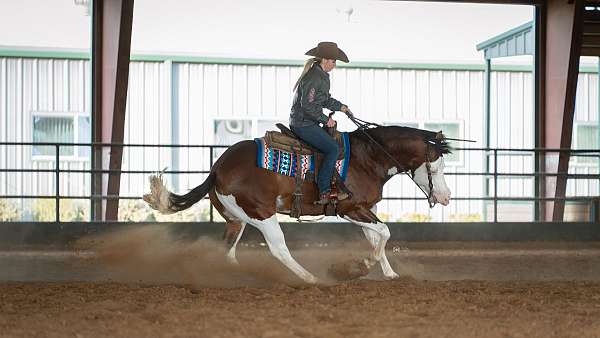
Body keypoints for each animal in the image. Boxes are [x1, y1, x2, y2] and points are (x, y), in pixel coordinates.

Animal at [144, 124, 450, 282]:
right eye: (435, 168)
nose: (446, 197)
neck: (367, 158)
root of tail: (218, 167)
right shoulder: (349, 209)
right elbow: (385, 232)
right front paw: (358, 267)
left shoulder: (367, 209)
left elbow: (377, 238)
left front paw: (390, 273)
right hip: (262, 214)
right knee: (278, 249)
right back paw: (310, 278)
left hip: (237, 218)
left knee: (228, 251)